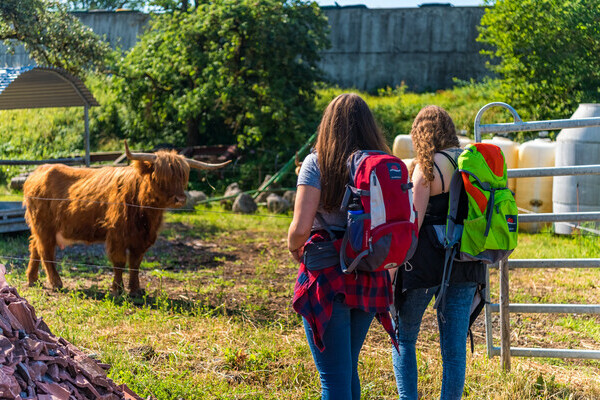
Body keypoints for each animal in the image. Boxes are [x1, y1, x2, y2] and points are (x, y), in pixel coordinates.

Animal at [24, 142, 230, 296]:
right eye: (161, 176)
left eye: (183, 176)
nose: (180, 199)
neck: (146, 213)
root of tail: (38, 171)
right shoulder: (117, 235)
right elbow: (119, 262)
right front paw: (117, 289)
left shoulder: (141, 239)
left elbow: (135, 264)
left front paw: (136, 290)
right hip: (44, 226)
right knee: (46, 252)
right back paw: (56, 283)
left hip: (39, 227)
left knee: (34, 246)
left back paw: (32, 279)